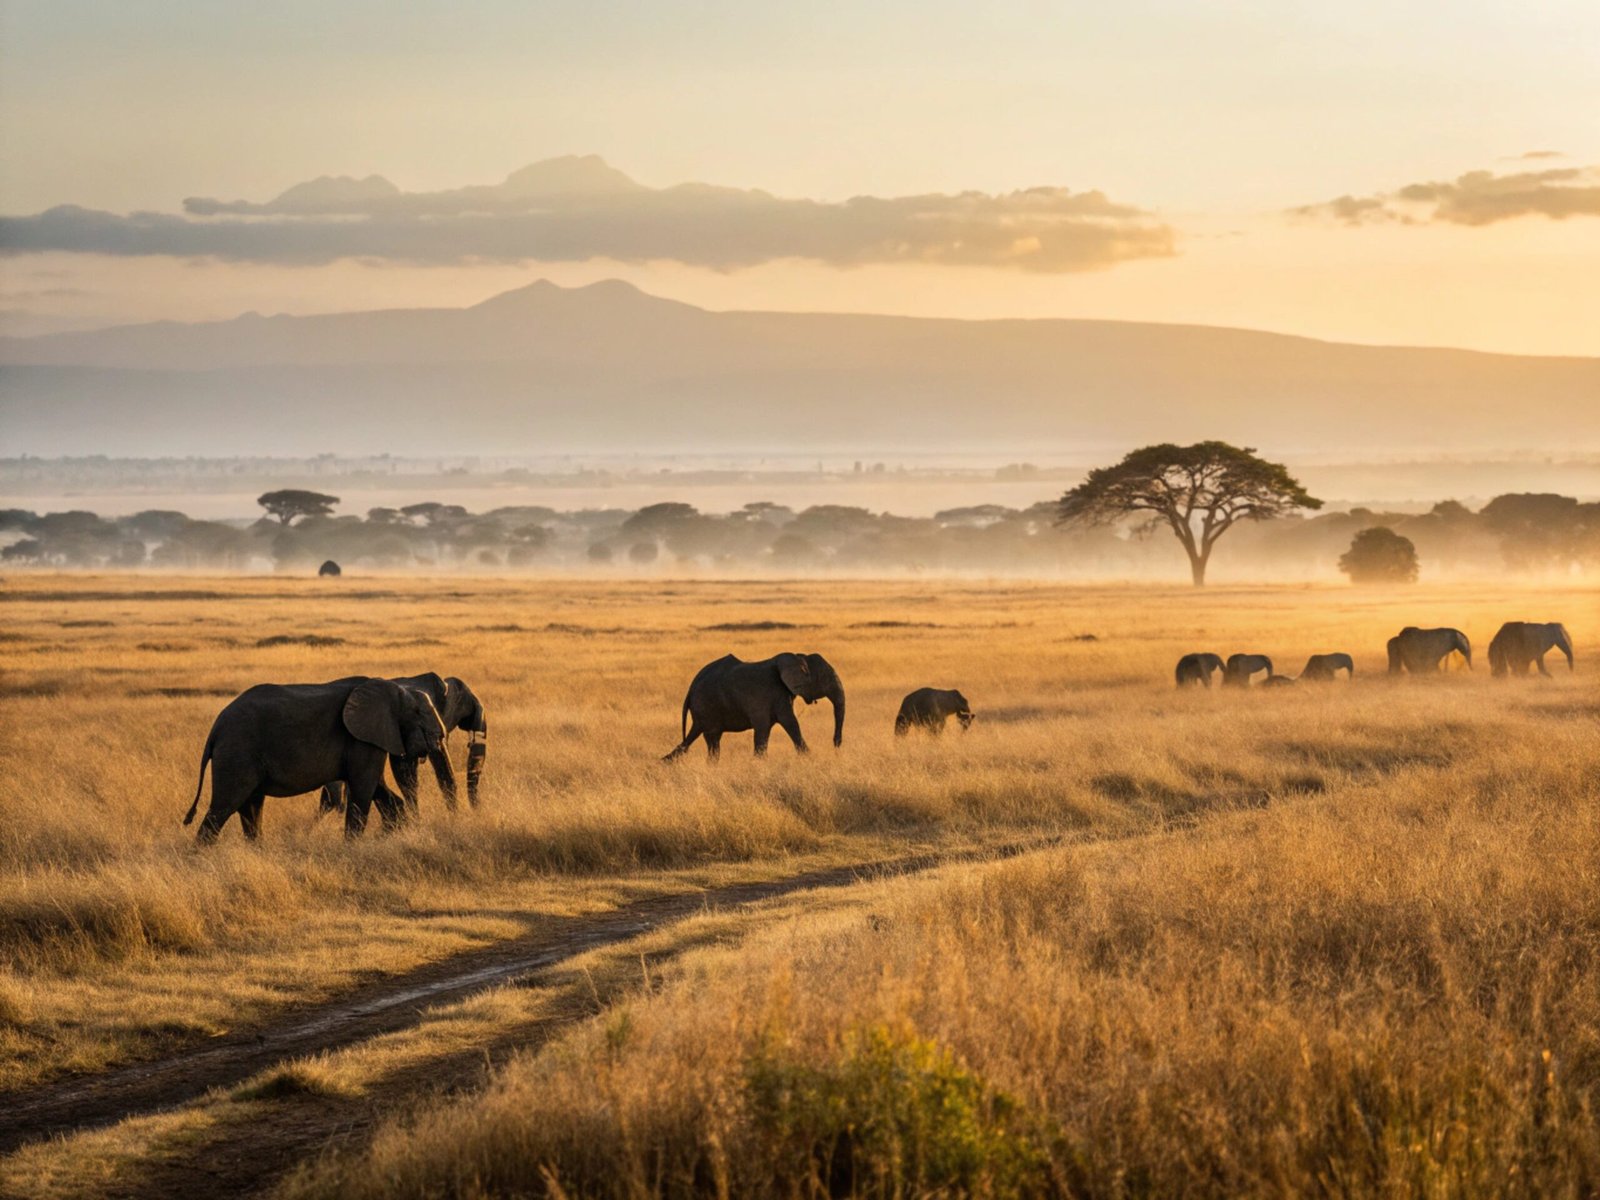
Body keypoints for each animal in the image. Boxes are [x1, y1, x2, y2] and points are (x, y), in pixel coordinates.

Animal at [183, 676, 446, 843]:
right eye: (418, 713)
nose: (437, 738)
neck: (394, 688)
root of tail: (216, 728)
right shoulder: (360, 738)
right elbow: (363, 790)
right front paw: (352, 846)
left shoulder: (370, 738)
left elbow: (378, 789)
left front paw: (391, 836)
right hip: (238, 751)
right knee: (224, 806)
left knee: (251, 806)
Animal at [663, 652, 844, 762]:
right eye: (825, 678)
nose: (836, 745)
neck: (798, 656)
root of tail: (690, 689)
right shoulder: (768, 693)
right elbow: (786, 723)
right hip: (706, 706)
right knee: (712, 739)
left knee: (711, 742)